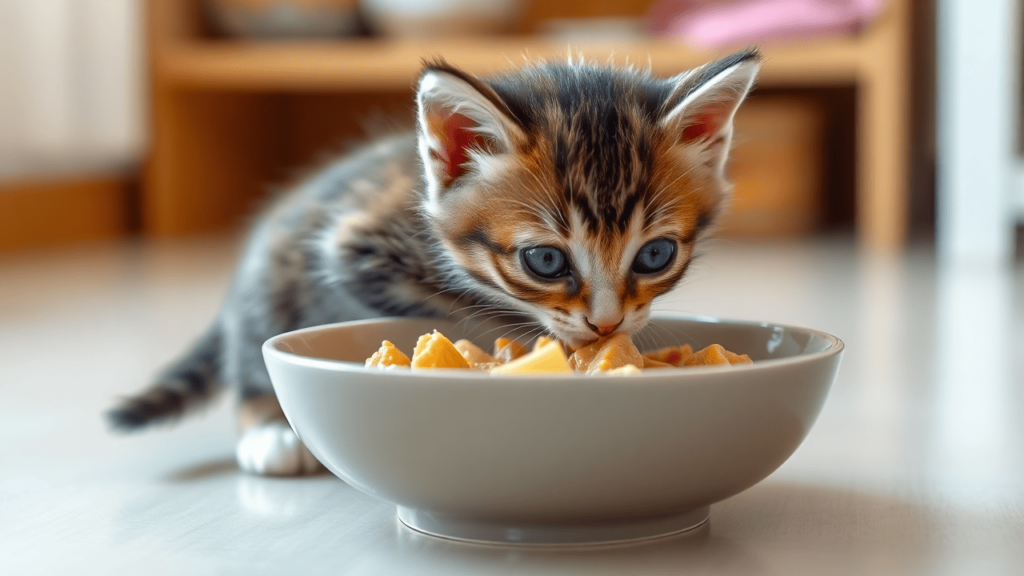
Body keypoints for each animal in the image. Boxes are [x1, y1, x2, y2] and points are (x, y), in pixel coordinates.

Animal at [105, 49, 761, 473]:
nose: (606, 325)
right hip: (273, 281)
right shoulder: (356, 247)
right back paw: (269, 431)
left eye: (655, 254)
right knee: (249, 358)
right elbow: (473, 305)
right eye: (546, 261)